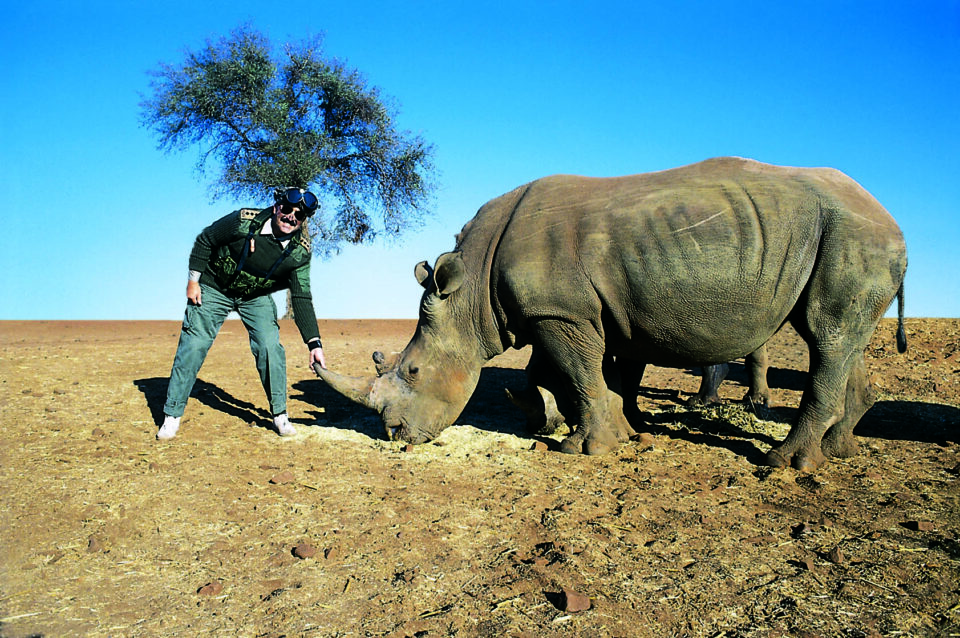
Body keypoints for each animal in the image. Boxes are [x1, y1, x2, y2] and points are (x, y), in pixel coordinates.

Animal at [317, 157, 907, 472]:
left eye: (414, 371)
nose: (394, 434)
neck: (472, 289)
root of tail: (889, 216)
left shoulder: (559, 313)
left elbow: (578, 373)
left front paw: (586, 448)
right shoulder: (571, 313)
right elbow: (575, 375)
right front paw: (607, 431)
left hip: (853, 235)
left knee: (827, 337)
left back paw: (786, 462)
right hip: (846, 239)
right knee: (840, 338)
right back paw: (839, 451)